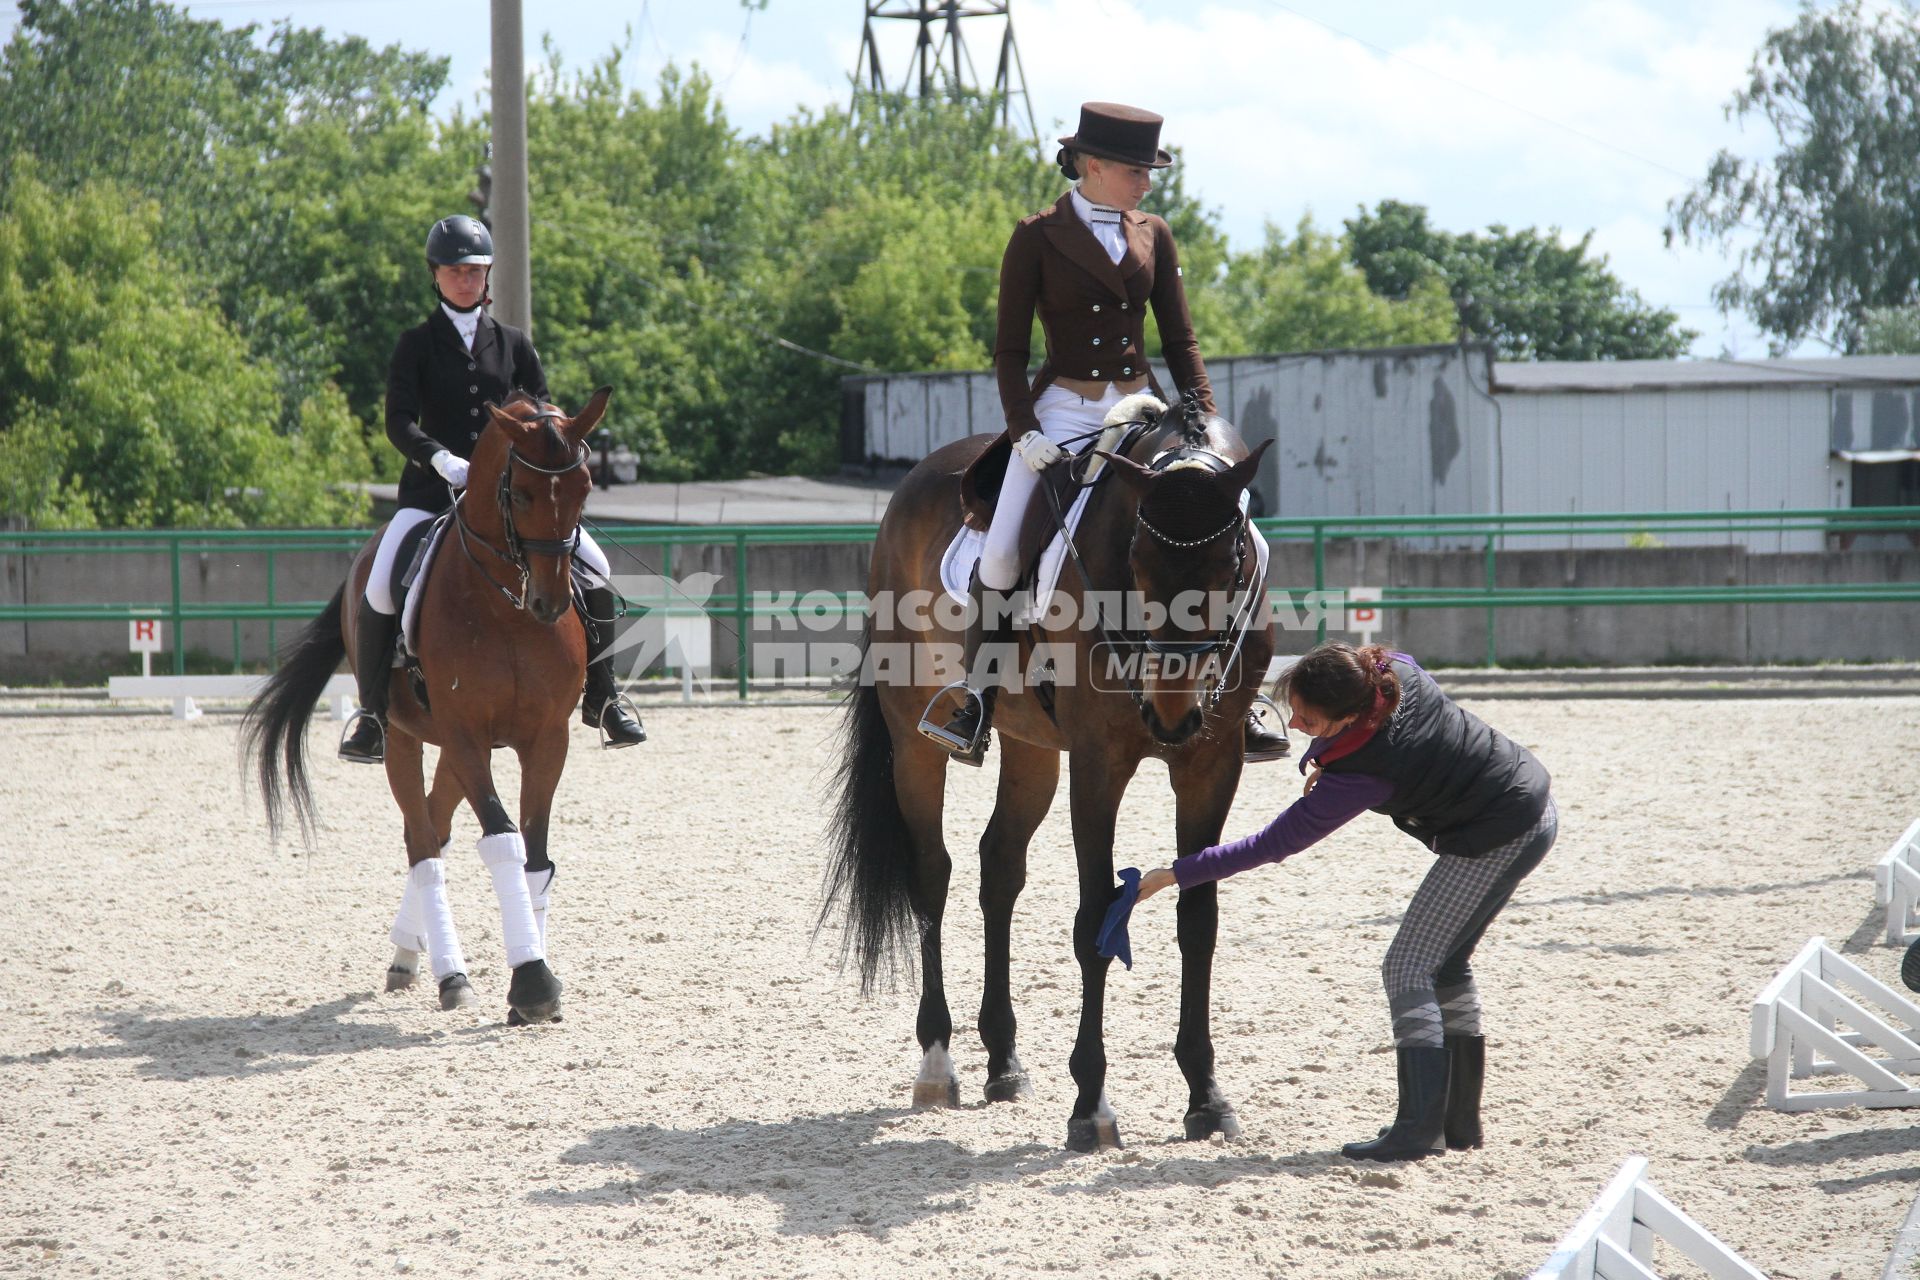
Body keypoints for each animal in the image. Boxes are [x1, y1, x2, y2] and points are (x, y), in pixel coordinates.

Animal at [243, 385, 610, 1028]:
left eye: (585, 488)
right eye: (520, 492)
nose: (550, 602)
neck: (507, 610)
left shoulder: (547, 737)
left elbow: (536, 855)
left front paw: (538, 982)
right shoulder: (465, 736)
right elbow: (503, 843)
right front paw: (531, 981)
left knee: (434, 832)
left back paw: (408, 954)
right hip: (407, 738)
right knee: (421, 845)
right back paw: (449, 974)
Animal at [825, 393, 1274, 1151]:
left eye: (1230, 566)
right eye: (1137, 563)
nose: (1172, 713)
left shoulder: (1212, 765)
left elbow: (1199, 918)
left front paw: (1206, 1095)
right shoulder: (1099, 764)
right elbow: (1095, 918)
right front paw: (1091, 1105)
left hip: (1032, 749)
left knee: (999, 866)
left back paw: (1004, 1060)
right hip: (914, 741)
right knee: (933, 873)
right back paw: (938, 1062)